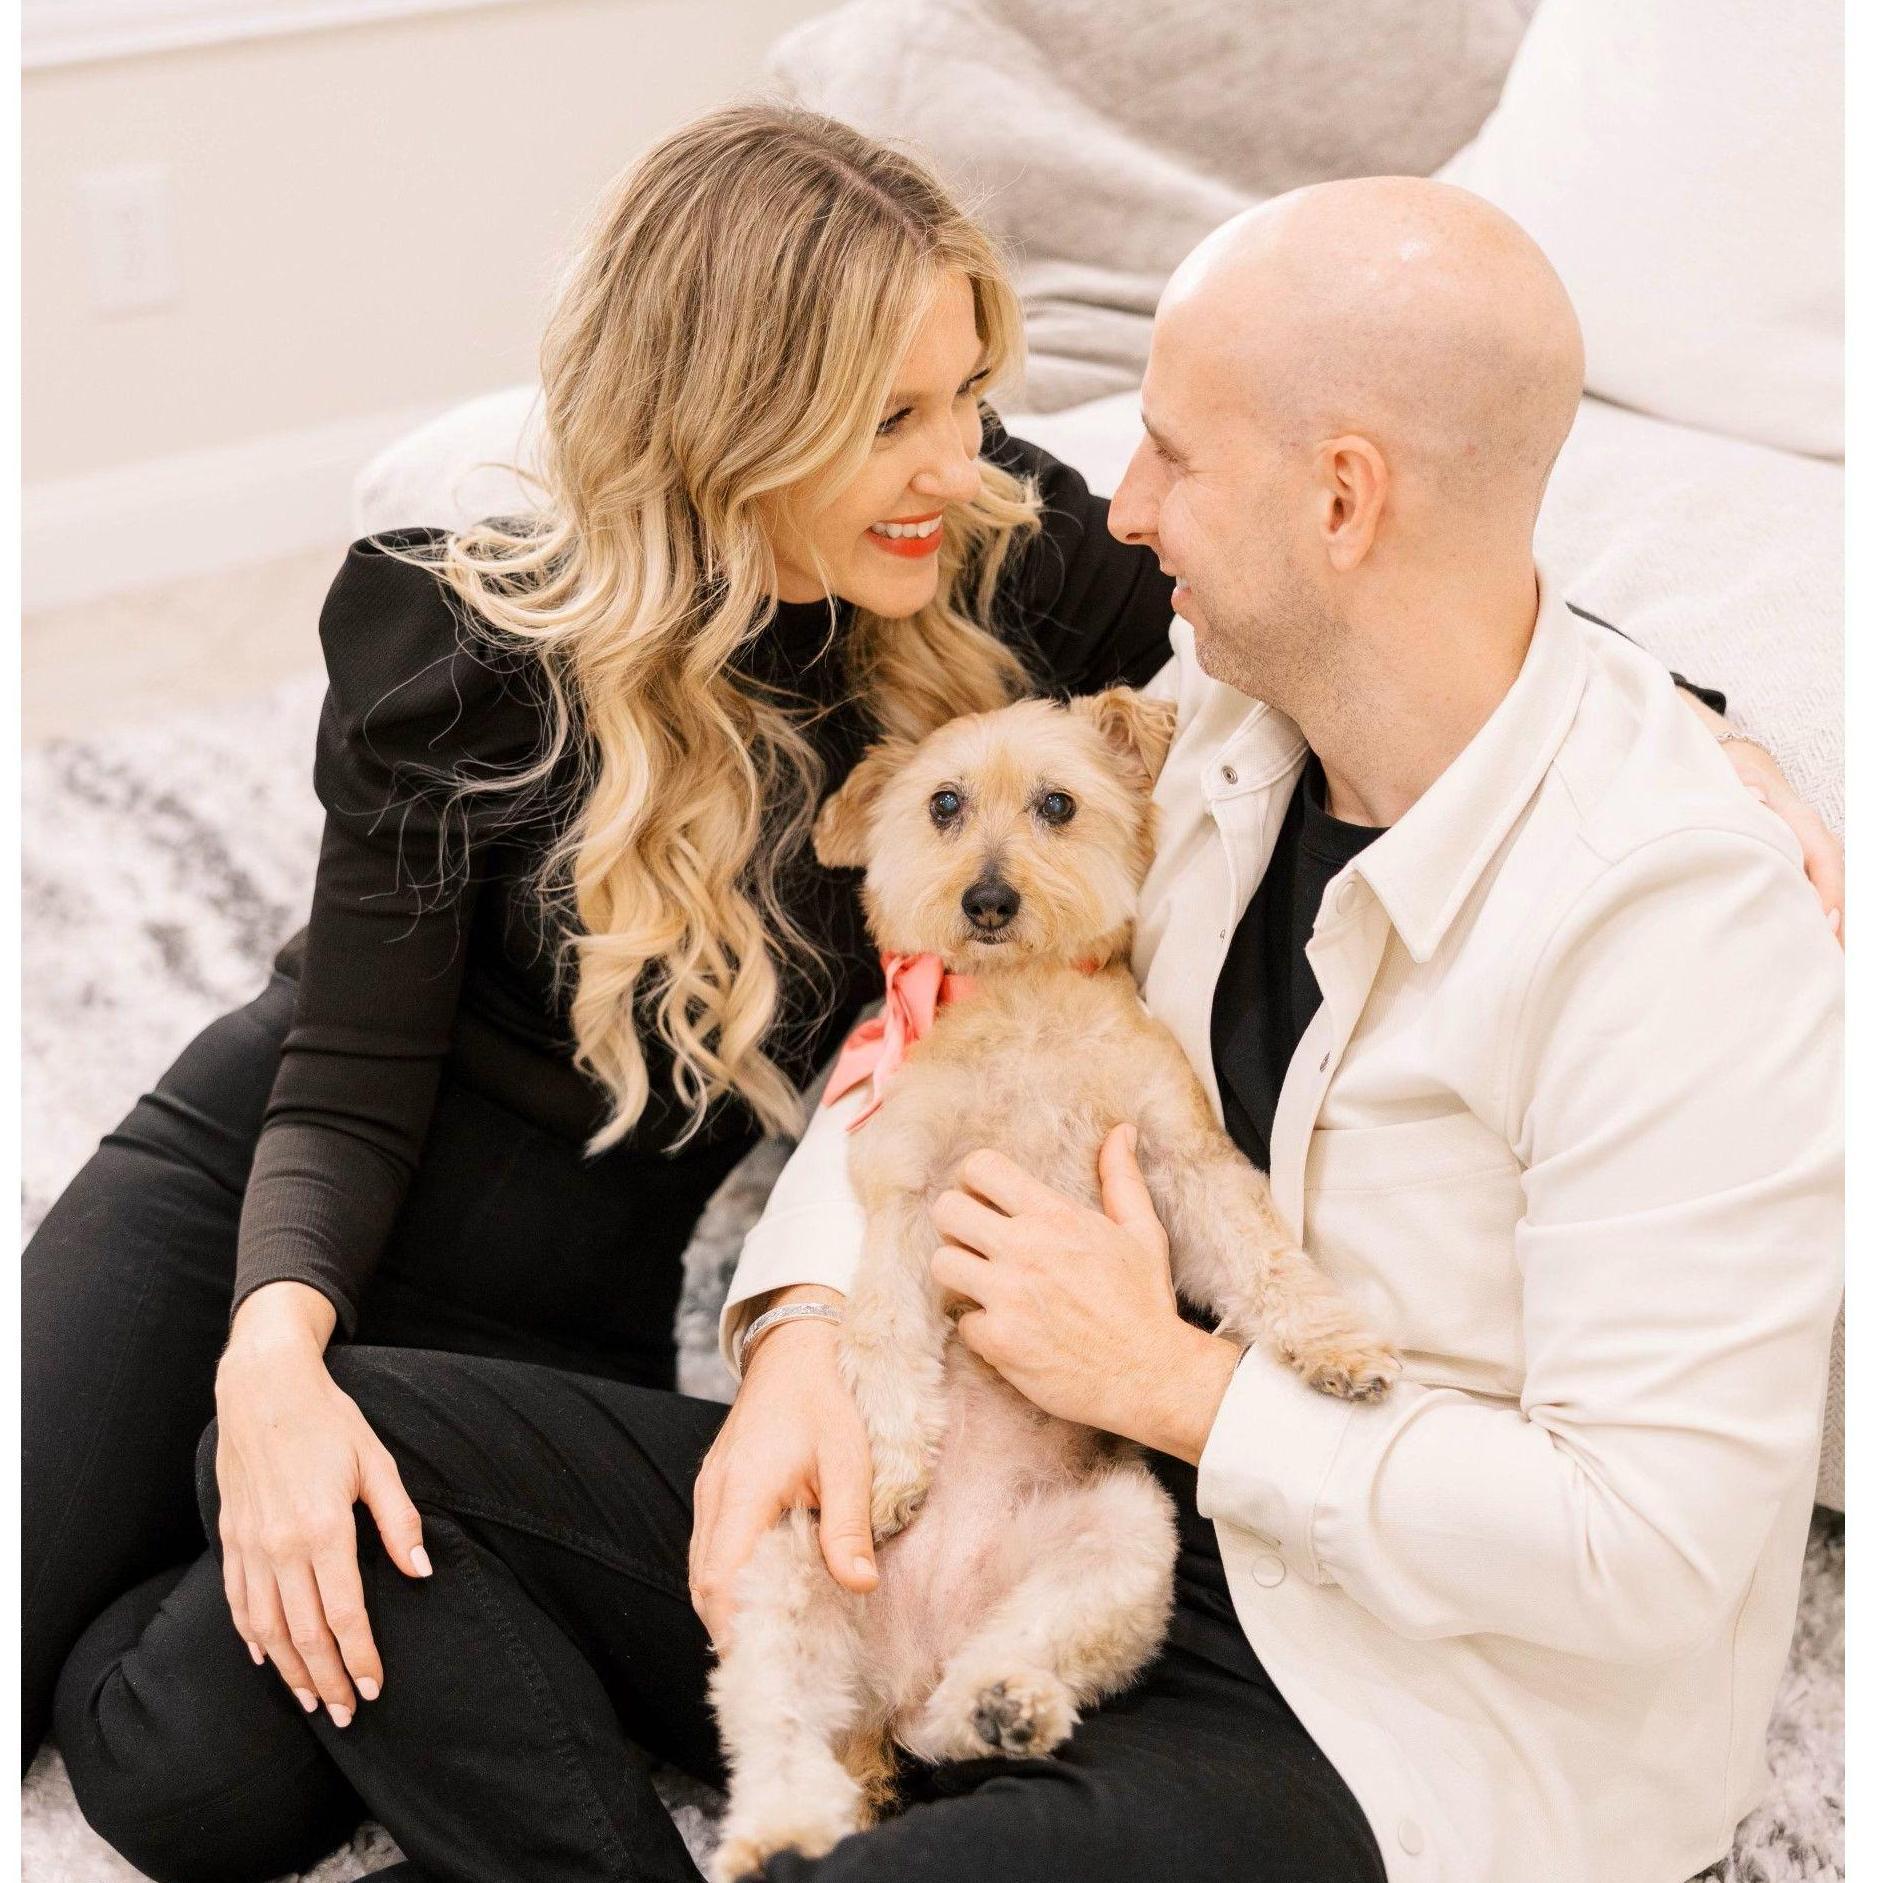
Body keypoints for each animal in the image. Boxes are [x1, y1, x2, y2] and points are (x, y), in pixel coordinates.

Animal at [708, 688, 1399, 1879]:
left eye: (1057, 805)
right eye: (942, 804)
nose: (986, 899)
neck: (1025, 1010)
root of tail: (892, 1680)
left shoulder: (1180, 1161)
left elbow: (1263, 1255)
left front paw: (1336, 1346)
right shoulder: (908, 1194)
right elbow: (882, 1335)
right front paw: (895, 1466)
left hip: (1121, 1541)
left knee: (975, 1691)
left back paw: (1002, 1703)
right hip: (786, 1562)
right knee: (778, 1727)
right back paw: (774, 1830)